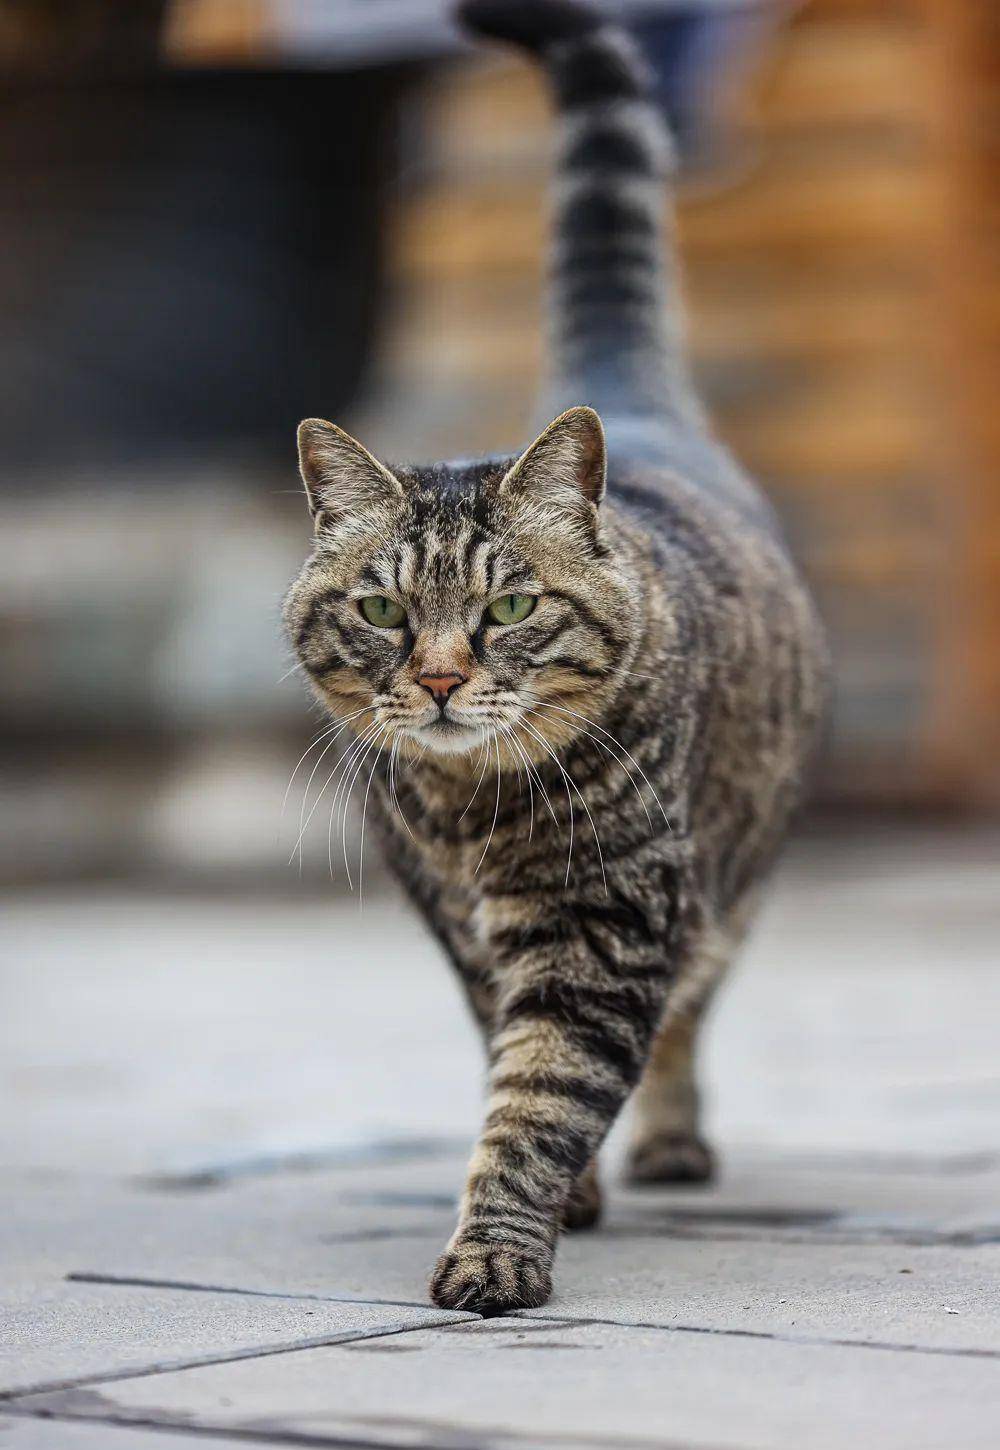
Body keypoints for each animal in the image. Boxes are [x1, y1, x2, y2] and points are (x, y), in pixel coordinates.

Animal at [282, 0, 823, 1316]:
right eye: (382, 611)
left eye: (510, 604)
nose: (434, 678)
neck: (467, 812)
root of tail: (636, 416)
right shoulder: (461, 925)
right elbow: (509, 1056)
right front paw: (558, 1200)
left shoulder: (607, 914)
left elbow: (543, 1089)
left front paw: (497, 1245)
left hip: (730, 872)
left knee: (690, 1008)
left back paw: (672, 1140)